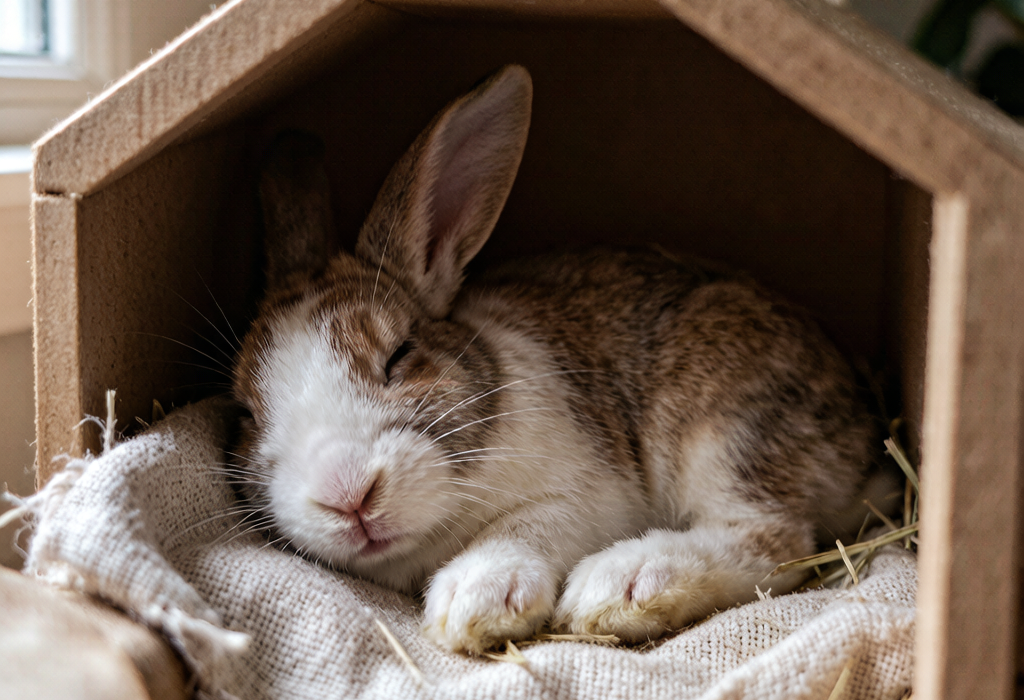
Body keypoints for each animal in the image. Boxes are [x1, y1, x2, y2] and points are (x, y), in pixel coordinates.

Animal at [231, 65, 880, 654]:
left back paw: (619, 586)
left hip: (722, 425)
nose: (347, 496)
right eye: (247, 413)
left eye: (399, 356)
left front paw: (474, 601)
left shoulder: (591, 495)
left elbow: (530, 524)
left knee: (773, 540)